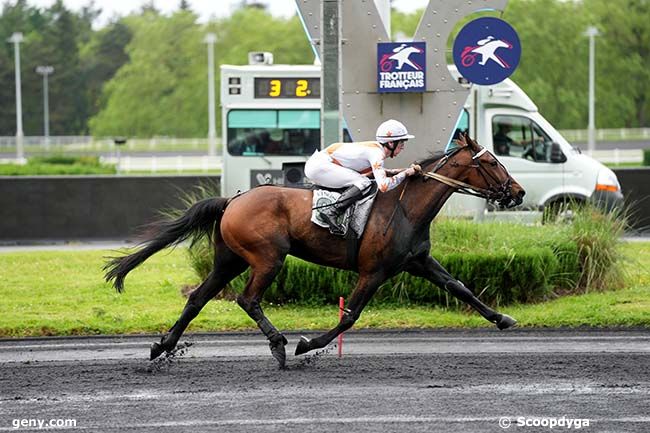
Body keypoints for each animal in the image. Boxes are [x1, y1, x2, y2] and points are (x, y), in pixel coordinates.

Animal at [105, 134, 520, 364]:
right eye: (493, 161)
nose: (517, 192)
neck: (405, 206)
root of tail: (232, 200)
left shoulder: (417, 261)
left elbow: (459, 287)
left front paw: (503, 318)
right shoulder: (374, 270)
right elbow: (350, 315)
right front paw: (308, 344)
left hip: (229, 260)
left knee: (197, 298)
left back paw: (162, 346)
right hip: (267, 258)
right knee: (247, 299)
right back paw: (278, 345)